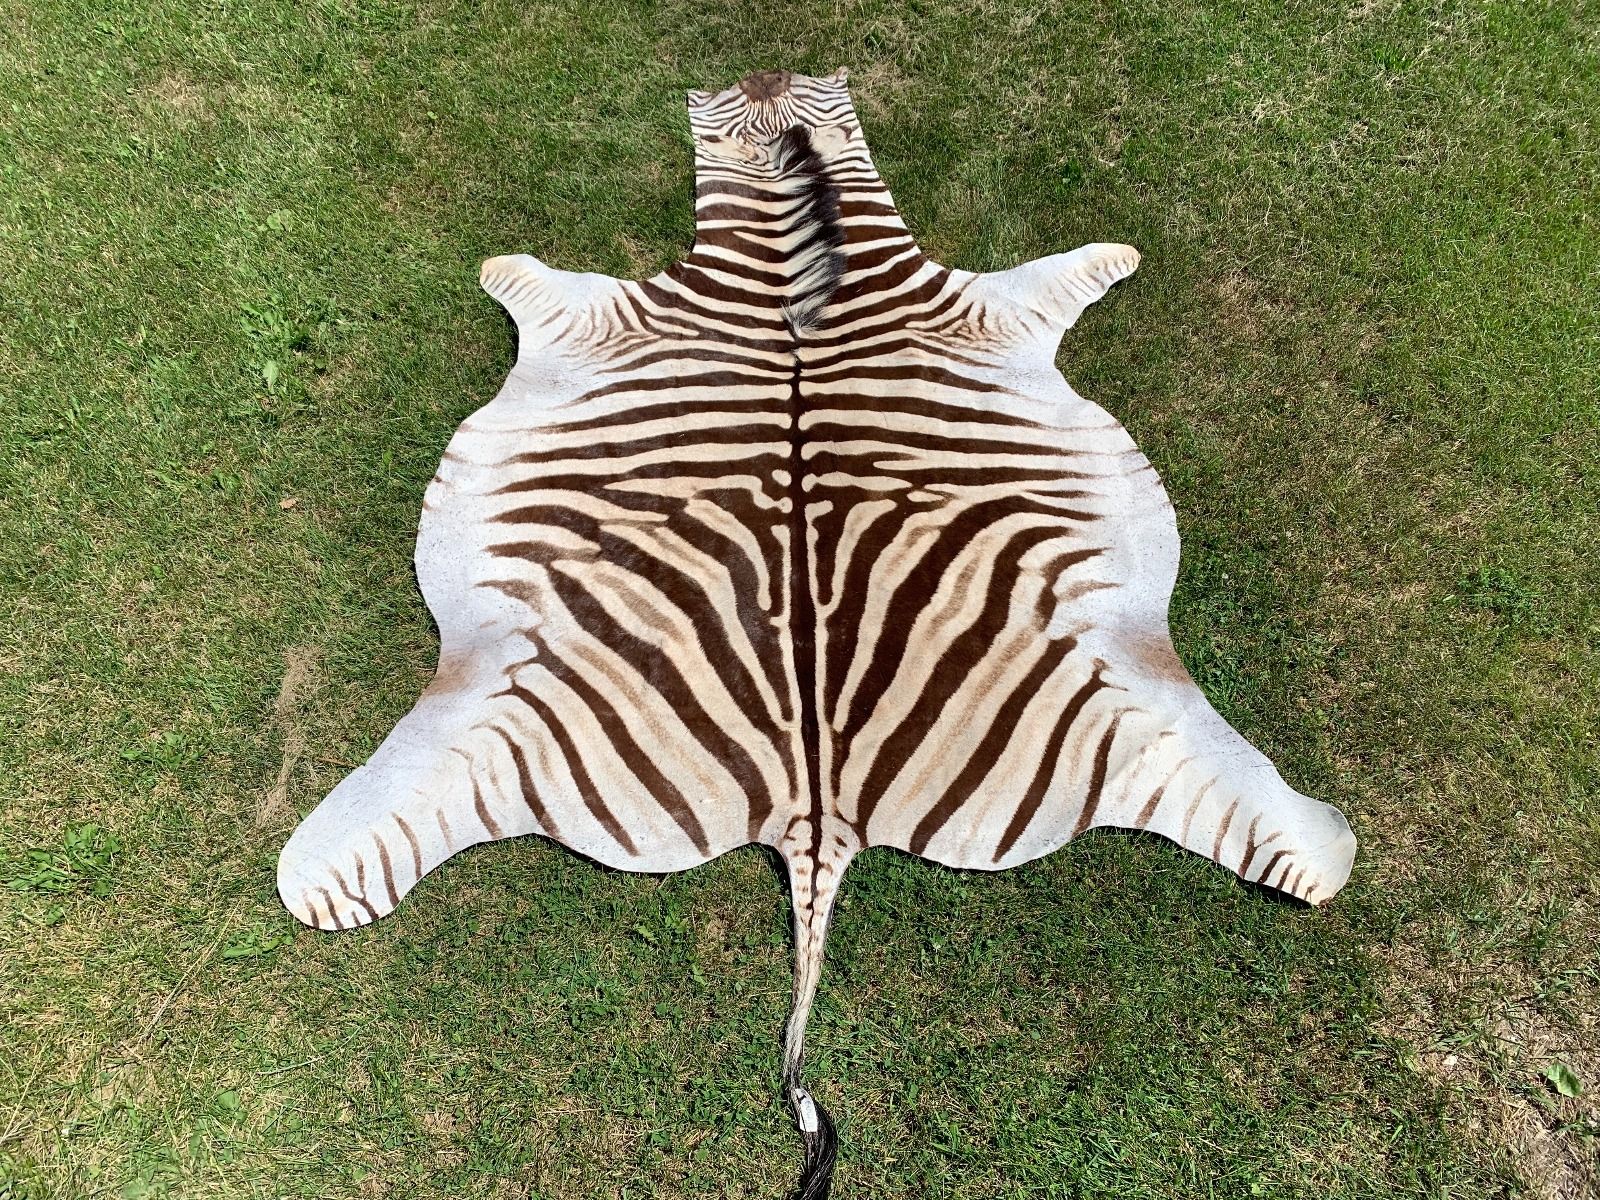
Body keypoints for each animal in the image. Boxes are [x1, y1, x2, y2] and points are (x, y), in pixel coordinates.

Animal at [278, 67, 1357, 1197]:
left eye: (813, 100)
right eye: (740, 107)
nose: (766, 74)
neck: (785, 261)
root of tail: (815, 812)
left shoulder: (951, 305)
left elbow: (1070, 269)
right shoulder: (660, 313)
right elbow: (526, 276)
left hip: (1113, 688)